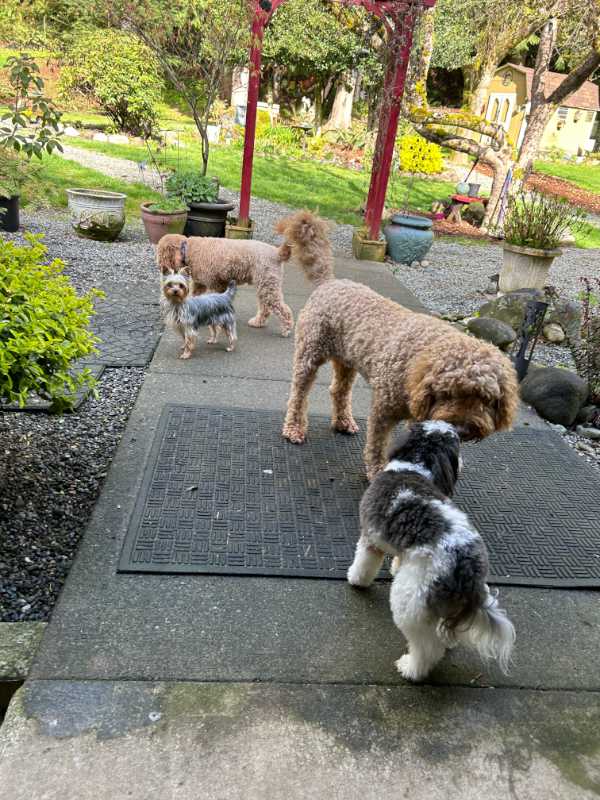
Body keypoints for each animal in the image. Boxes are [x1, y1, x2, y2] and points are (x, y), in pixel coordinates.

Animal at [156, 233, 294, 336]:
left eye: (160, 253)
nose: (159, 266)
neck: (190, 249)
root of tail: (277, 252)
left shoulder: (217, 284)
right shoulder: (200, 284)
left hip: (267, 284)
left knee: (282, 309)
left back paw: (286, 329)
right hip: (264, 285)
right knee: (266, 307)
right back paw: (257, 322)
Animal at [282, 209, 520, 478]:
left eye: (486, 398)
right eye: (447, 393)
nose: (462, 428)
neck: (419, 356)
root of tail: (330, 282)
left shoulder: (422, 416)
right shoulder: (383, 410)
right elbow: (377, 444)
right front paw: (378, 471)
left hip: (347, 360)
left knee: (339, 390)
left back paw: (343, 421)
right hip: (309, 354)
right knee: (299, 393)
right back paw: (294, 428)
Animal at [346, 418, 516, 680]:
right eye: (457, 443)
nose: (463, 463)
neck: (415, 466)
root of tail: (467, 569)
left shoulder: (370, 537)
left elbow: (364, 563)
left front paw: (356, 579)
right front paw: (395, 566)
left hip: (411, 601)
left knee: (427, 648)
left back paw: (411, 668)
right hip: (444, 603)